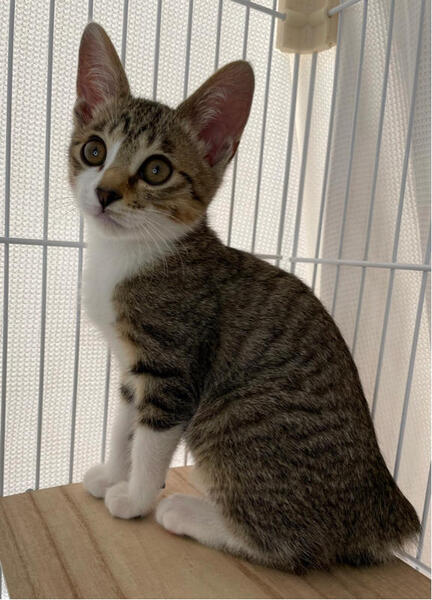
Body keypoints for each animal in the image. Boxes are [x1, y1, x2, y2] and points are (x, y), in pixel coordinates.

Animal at [70, 22, 420, 572]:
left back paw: (186, 514)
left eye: (155, 170)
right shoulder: (132, 367)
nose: (104, 192)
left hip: (230, 417)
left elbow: (152, 437)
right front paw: (111, 473)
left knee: (295, 544)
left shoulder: (173, 363)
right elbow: (125, 422)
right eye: (94, 151)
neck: (131, 254)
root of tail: (385, 508)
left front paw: (135, 497)